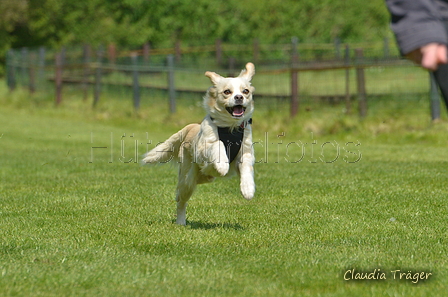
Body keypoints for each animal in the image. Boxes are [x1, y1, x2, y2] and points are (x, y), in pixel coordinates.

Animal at [144, 62, 256, 224]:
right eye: (227, 92)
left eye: (245, 91)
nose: (239, 97)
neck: (230, 127)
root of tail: (190, 126)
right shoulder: (204, 147)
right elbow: (218, 144)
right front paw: (222, 165)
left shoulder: (246, 151)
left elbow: (246, 165)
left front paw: (248, 189)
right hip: (188, 180)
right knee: (180, 200)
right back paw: (180, 222)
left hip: (203, 178)